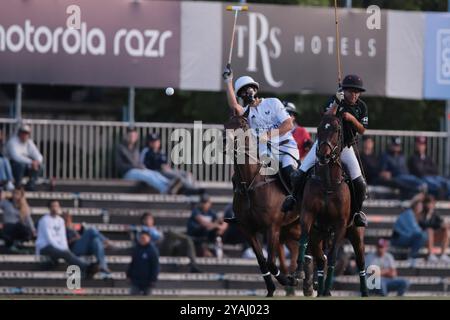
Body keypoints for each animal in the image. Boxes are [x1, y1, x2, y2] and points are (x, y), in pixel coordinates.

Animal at [225, 114, 302, 296]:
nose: (226, 140)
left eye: (243, 124)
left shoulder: (272, 227)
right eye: (225, 125)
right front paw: (271, 289)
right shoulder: (247, 229)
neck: (250, 184)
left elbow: (271, 263)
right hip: (291, 229)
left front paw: (288, 280)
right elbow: (262, 261)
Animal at [294, 115, 368, 298]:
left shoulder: (340, 224)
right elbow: (303, 238)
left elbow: (334, 255)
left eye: (336, 130)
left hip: (356, 233)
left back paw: (364, 291)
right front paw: (298, 271)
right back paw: (319, 289)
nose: (322, 155)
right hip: (318, 235)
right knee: (321, 260)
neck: (328, 181)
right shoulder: (308, 214)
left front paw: (328, 288)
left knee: (361, 262)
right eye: (319, 128)